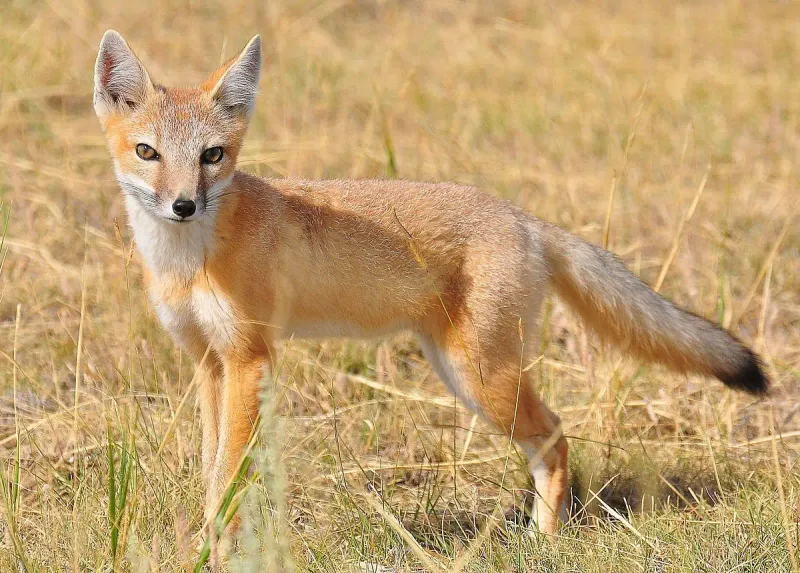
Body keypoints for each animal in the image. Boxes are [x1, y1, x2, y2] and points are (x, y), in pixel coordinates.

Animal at [92, 30, 768, 532]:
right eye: (148, 152)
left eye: (213, 156)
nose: (183, 205)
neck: (187, 260)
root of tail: (524, 219)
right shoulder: (210, 362)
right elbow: (213, 469)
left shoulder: (250, 359)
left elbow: (230, 475)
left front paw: (219, 546)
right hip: (460, 372)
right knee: (548, 442)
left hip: (483, 378)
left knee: (555, 439)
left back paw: (545, 543)